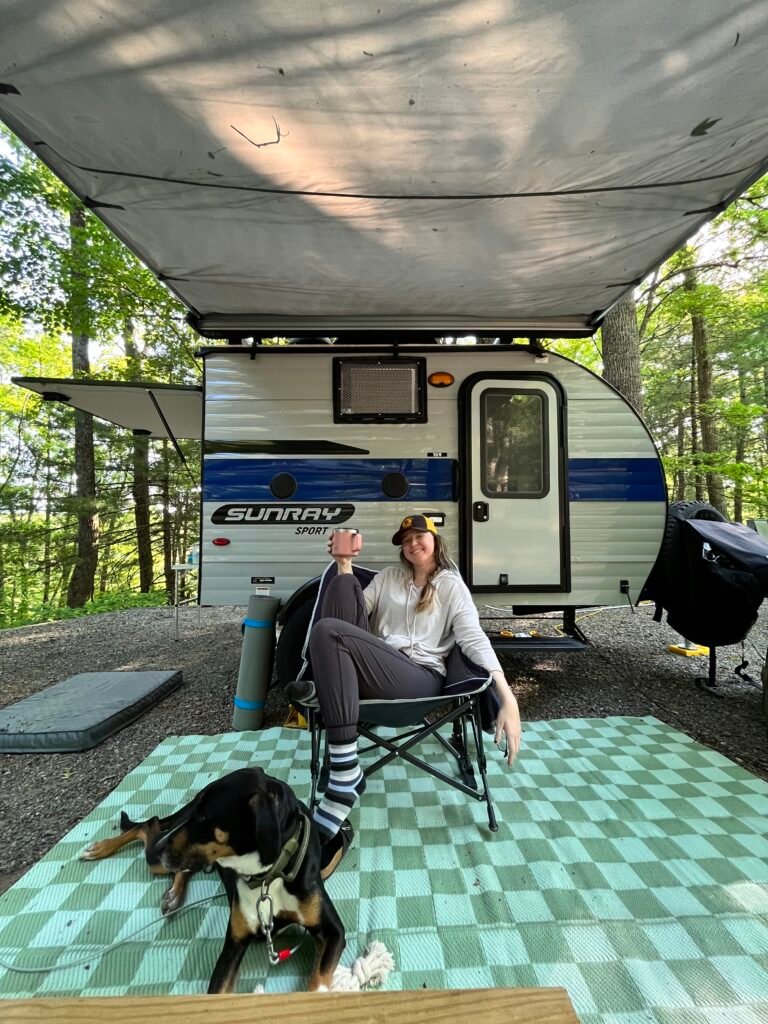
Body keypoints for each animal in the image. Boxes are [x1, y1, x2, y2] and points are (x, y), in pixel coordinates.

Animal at [80, 770, 342, 991]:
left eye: (204, 816)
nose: (161, 847)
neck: (266, 878)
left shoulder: (333, 931)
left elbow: (318, 982)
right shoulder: (233, 945)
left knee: (166, 847)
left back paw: (173, 894)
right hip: (159, 856)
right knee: (149, 825)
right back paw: (101, 849)